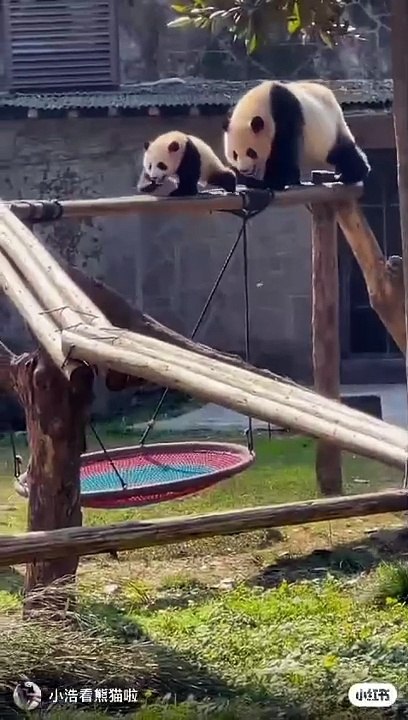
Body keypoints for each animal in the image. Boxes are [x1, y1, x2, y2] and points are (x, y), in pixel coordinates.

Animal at [223, 80, 370, 191]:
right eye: (234, 154)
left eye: (251, 152)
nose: (244, 169)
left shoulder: (285, 114)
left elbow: (284, 153)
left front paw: (269, 181)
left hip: (330, 129)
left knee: (340, 152)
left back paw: (353, 173)